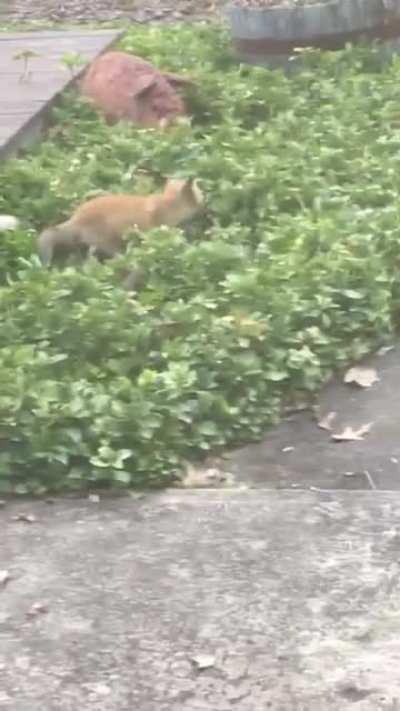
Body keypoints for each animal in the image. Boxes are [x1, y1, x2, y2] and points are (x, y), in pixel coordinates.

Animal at [37, 177, 204, 266]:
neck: (167, 205)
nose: (205, 208)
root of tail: (75, 219)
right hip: (111, 244)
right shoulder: (154, 231)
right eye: (200, 196)